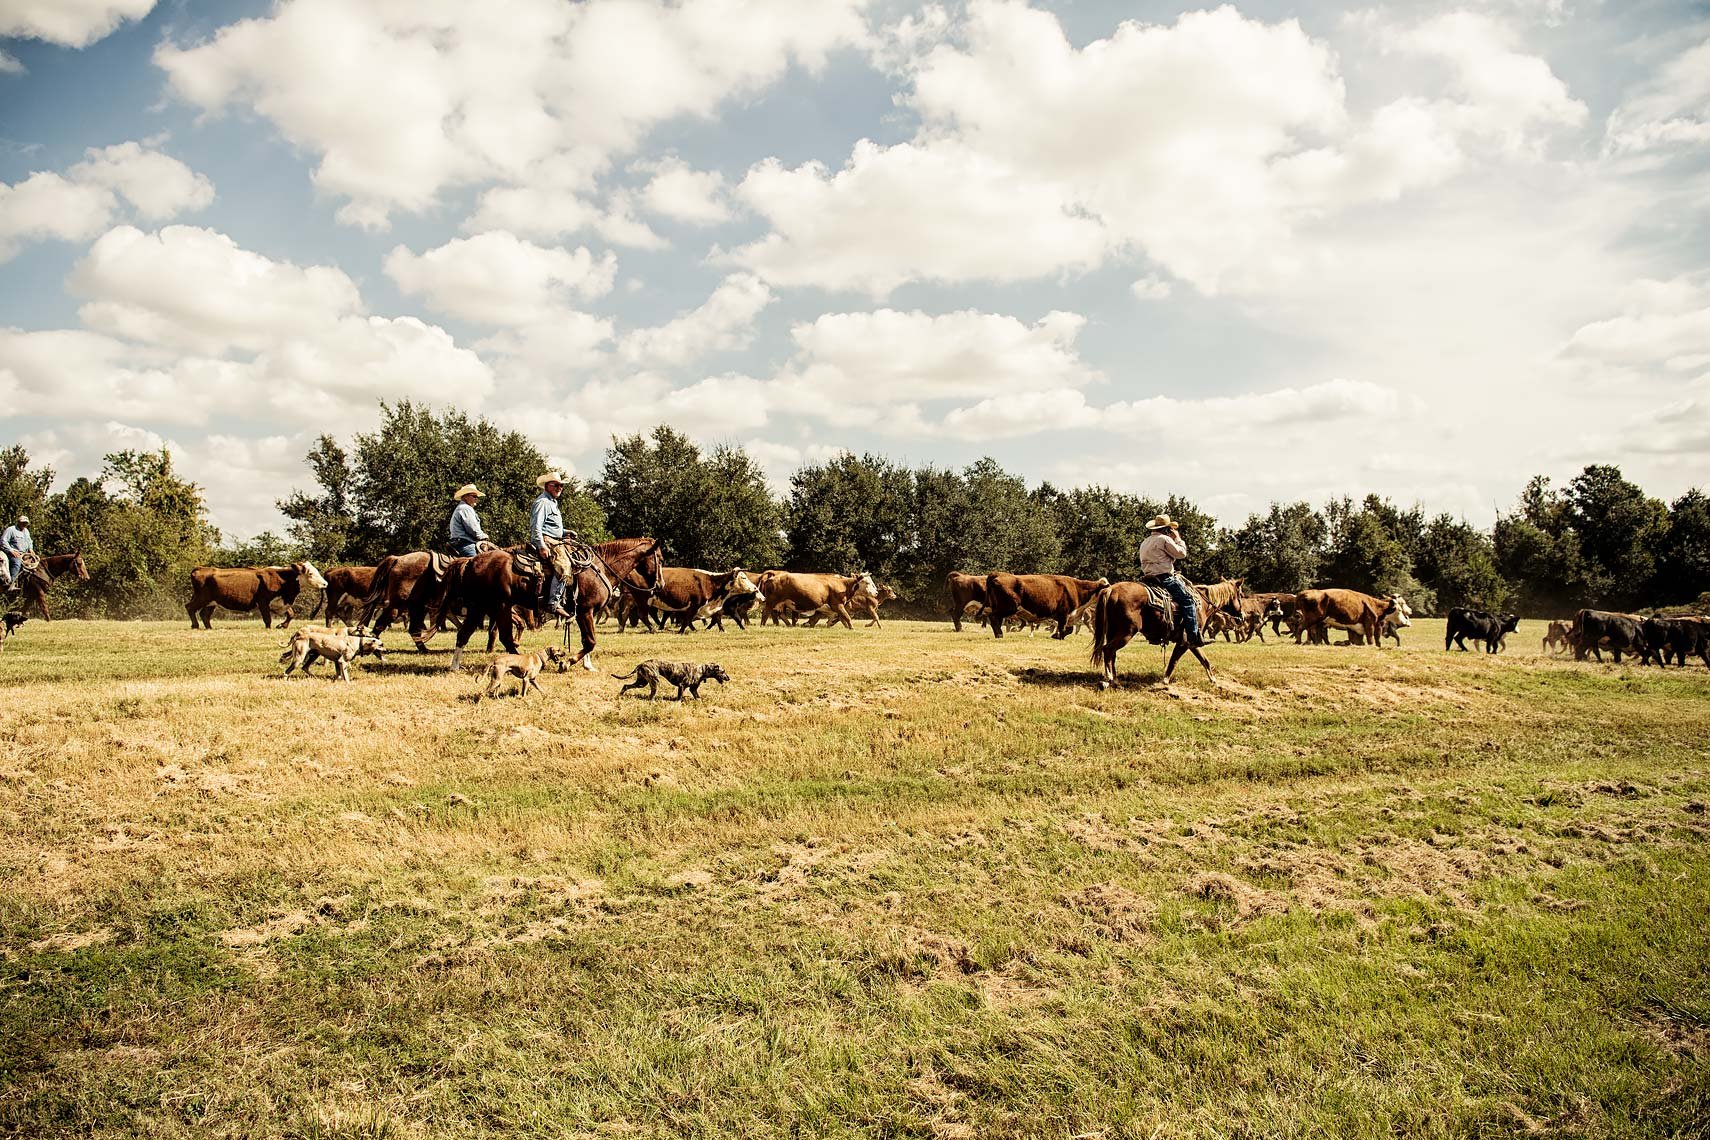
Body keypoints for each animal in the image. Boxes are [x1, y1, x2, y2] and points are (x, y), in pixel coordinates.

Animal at [185, 564, 324, 632]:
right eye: (310, 573)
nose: (325, 584)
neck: (281, 579)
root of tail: (200, 569)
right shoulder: (263, 602)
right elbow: (267, 619)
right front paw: (269, 628)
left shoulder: (279, 603)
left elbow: (291, 614)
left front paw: (282, 625)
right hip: (202, 598)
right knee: (190, 607)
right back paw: (195, 625)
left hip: (212, 602)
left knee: (204, 614)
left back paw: (209, 628)